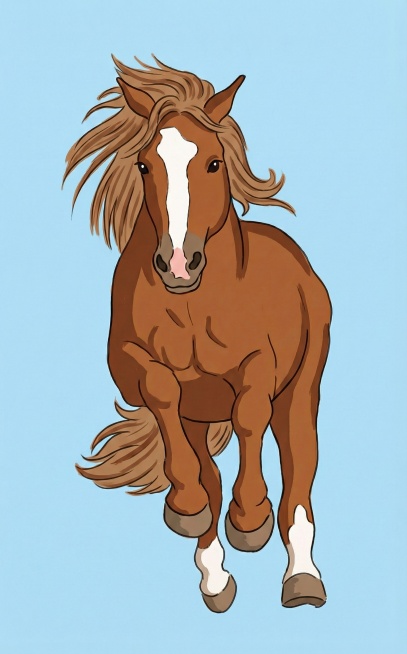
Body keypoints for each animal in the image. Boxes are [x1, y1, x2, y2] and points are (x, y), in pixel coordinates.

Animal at [64, 56, 331, 613]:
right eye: (145, 165)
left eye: (213, 163)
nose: (178, 264)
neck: (193, 307)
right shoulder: (134, 368)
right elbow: (162, 391)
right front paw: (188, 509)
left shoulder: (260, 366)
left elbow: (250, 416)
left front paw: (250, 518)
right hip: (197, 419)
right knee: (206, 471)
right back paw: (214, 577)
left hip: (300, 391)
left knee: (299, 472)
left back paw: (302, 580)